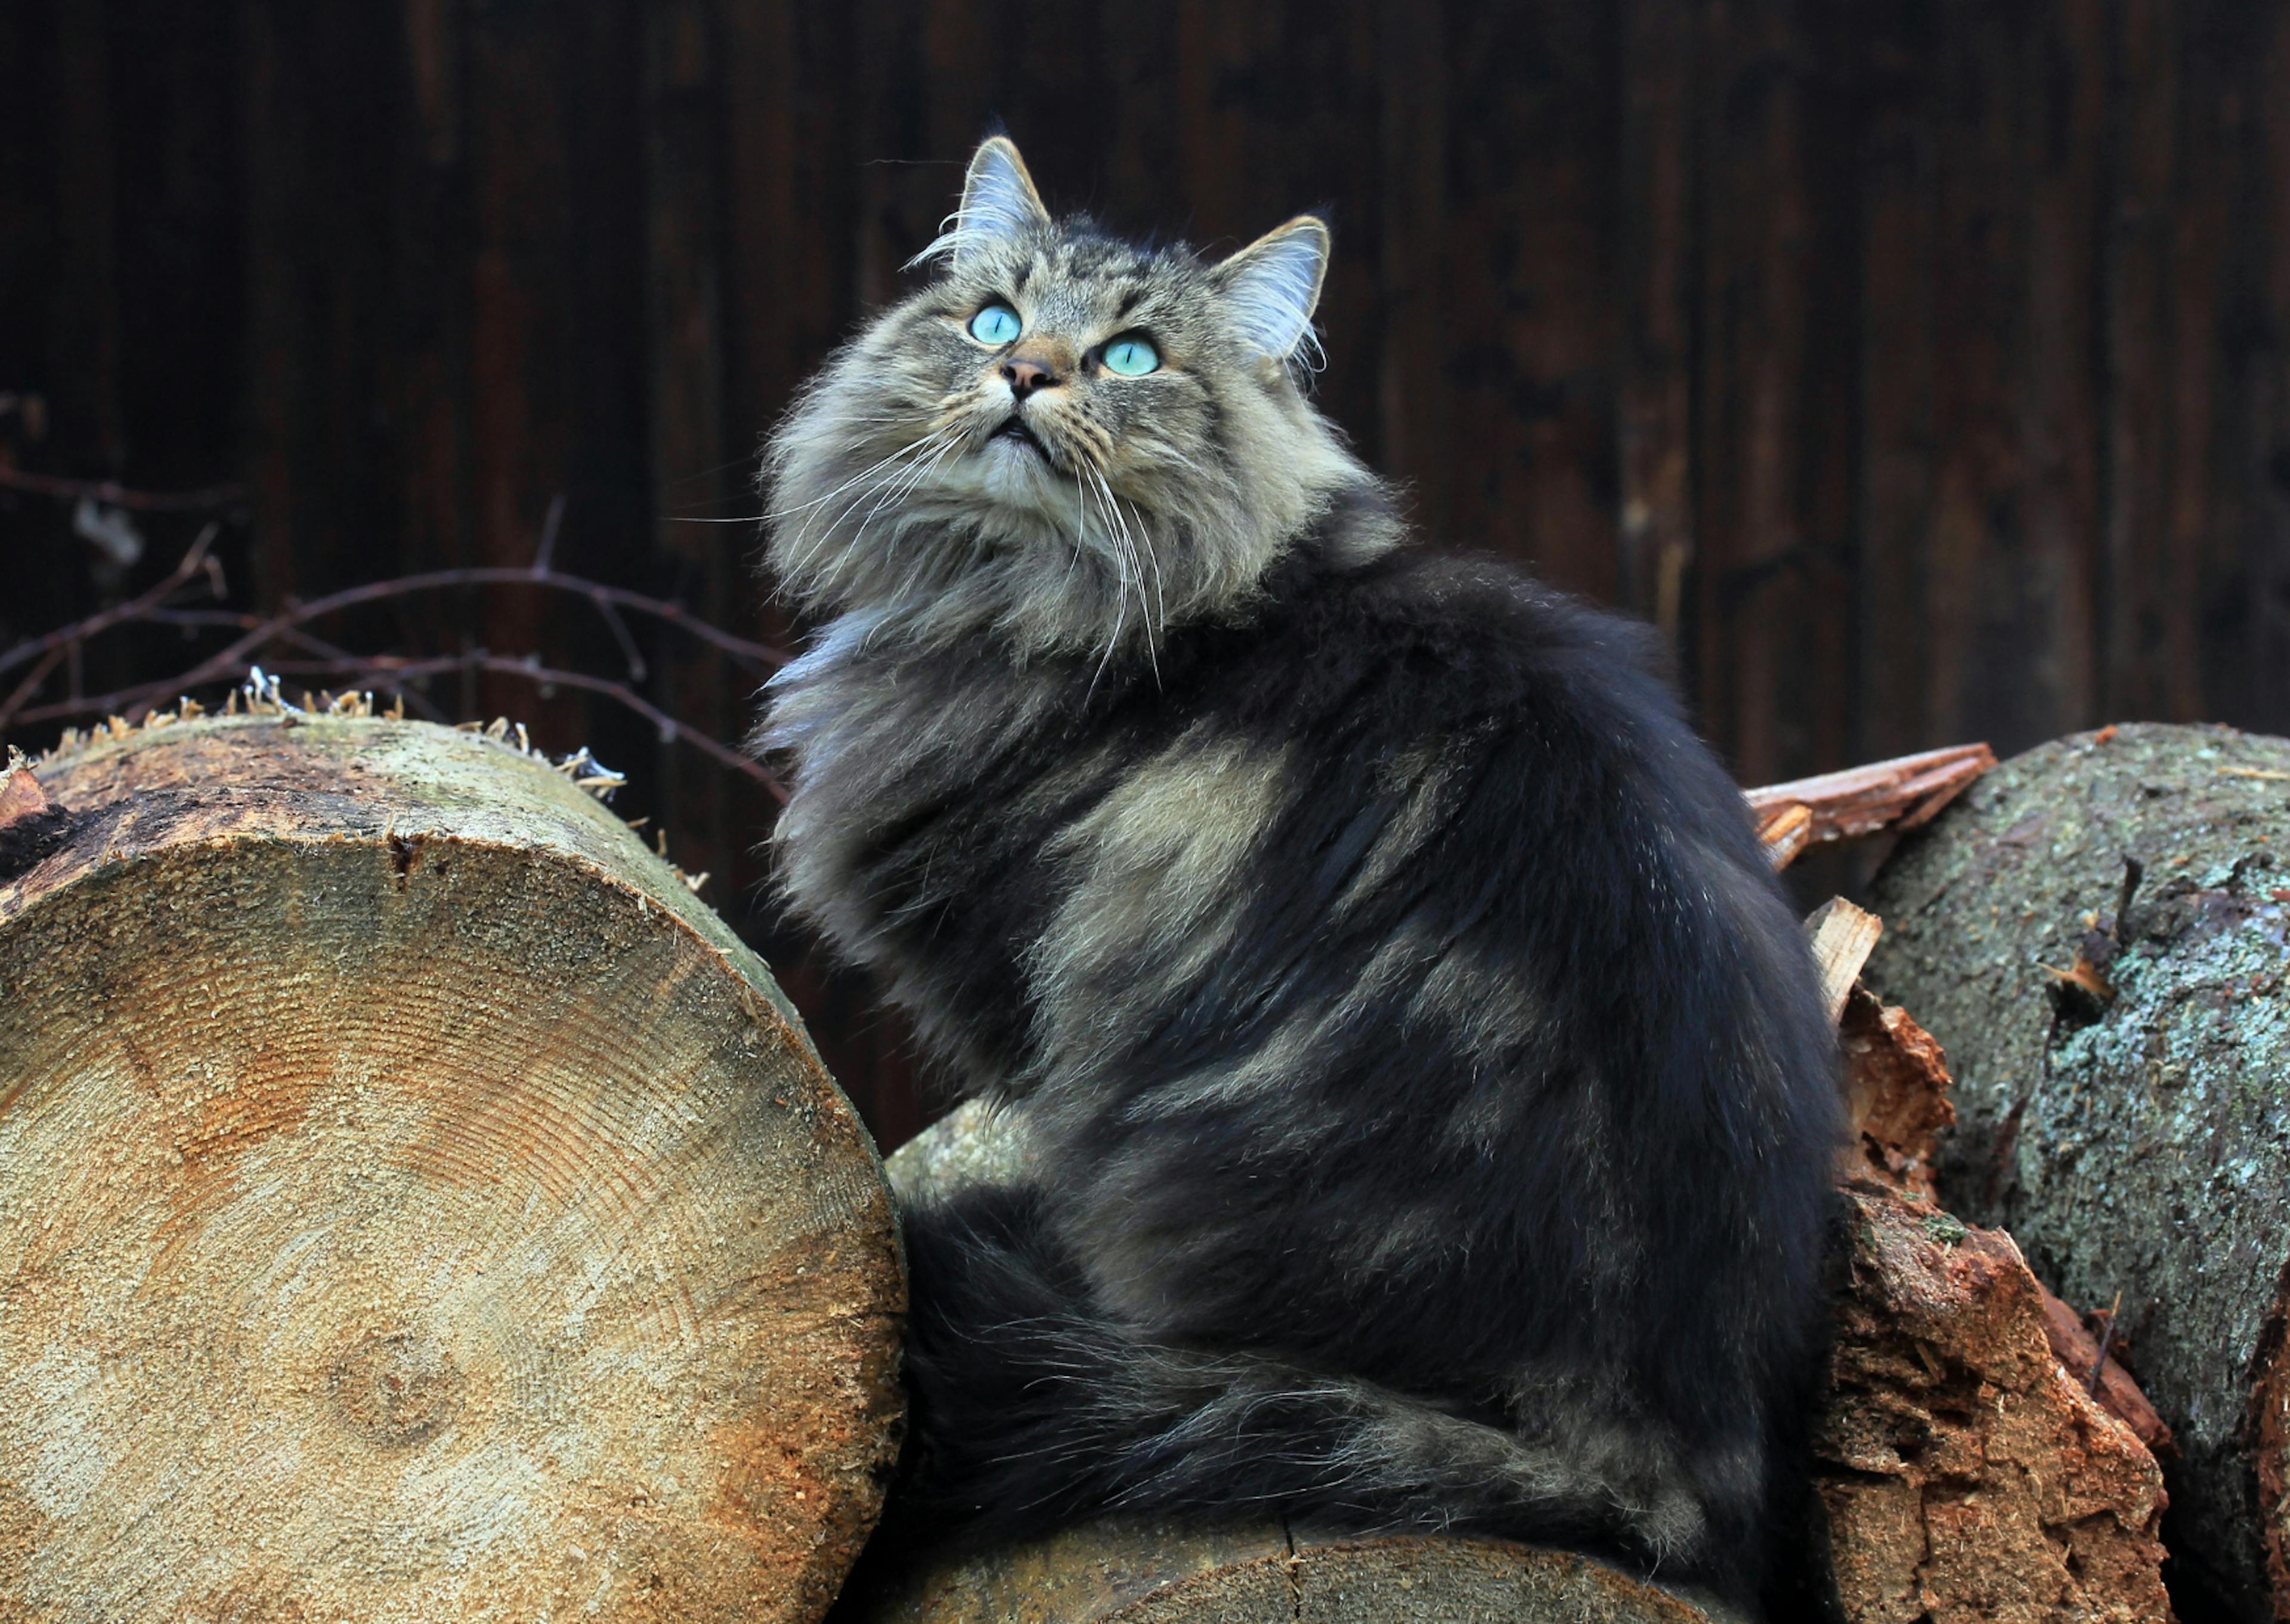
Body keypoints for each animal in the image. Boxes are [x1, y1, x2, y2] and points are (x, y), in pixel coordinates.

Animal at [760, 132, 1832, 1603]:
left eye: (1132, 356)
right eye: (989, 321)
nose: (1027, 373)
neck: (1018, 600)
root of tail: (1682, 1451)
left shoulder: (1019, 995)